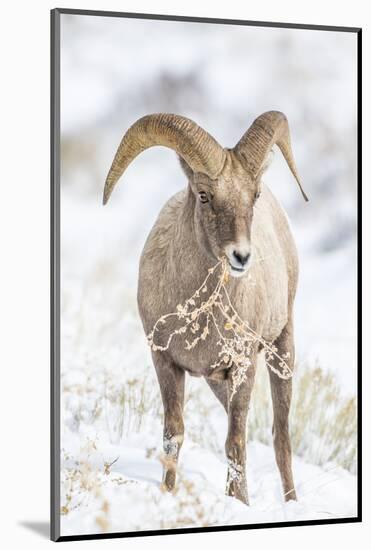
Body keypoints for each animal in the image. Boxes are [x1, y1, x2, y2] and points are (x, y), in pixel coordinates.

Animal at [104, 113, 308, 508]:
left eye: (254, 195)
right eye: (204, 195)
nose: (241, 256)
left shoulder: (243, 366)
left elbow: (235, 443)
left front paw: (239, 505)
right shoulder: (165, 362)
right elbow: (174, 436)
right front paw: (168, 495)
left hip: (282, 349)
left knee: (281, 438)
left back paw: (291, 504)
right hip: (218, 381)